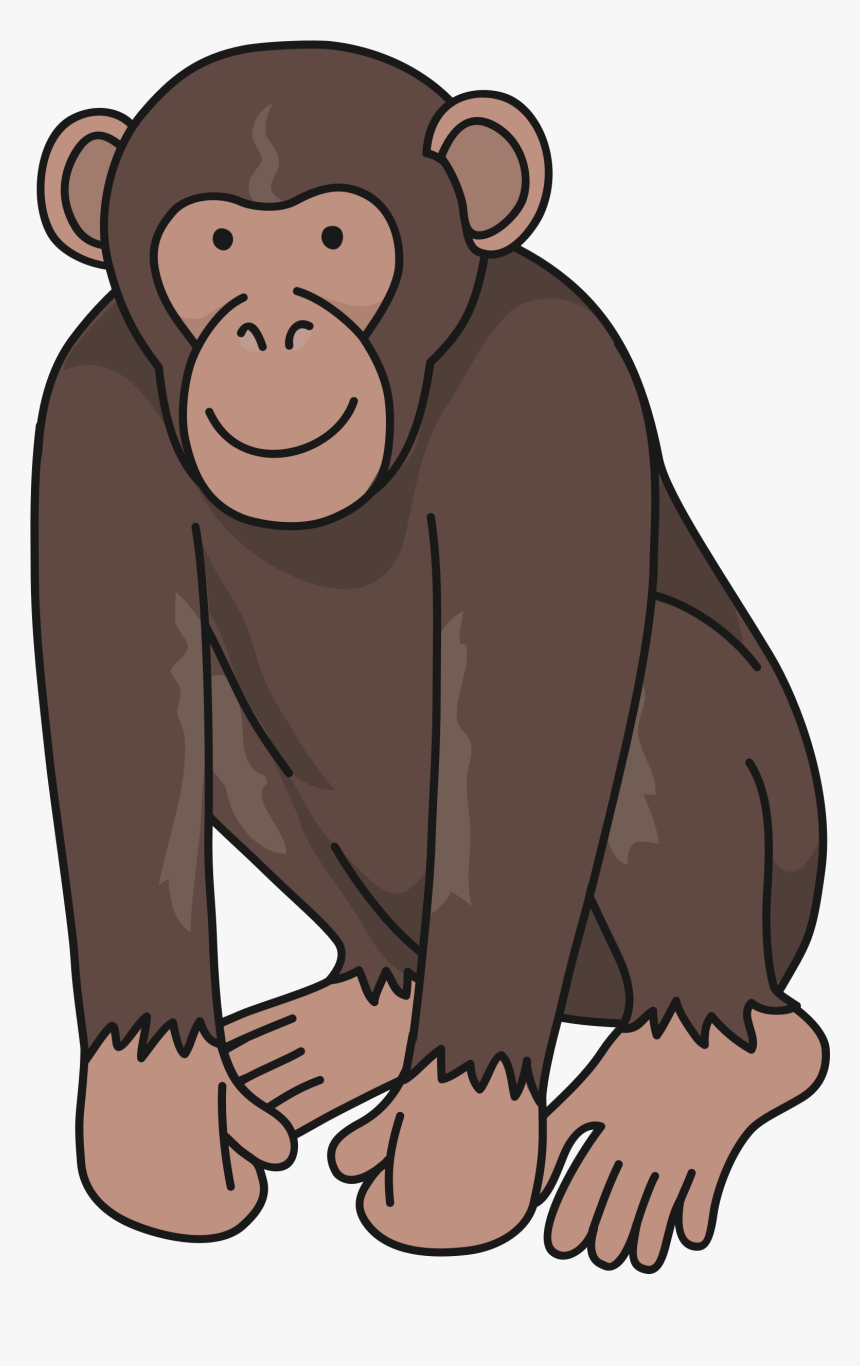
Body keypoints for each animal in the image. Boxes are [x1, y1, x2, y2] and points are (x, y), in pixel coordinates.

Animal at [34, 42, 827, 1263]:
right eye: (214, 248)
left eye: (333, 240)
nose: (270, 329)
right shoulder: (89, 408)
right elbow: (124, 715)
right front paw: (160, 1124)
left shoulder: (554, 378)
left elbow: (526, 729)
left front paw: (458, 1139)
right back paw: (372, 1009)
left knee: (667, 689)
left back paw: (690, 1064)